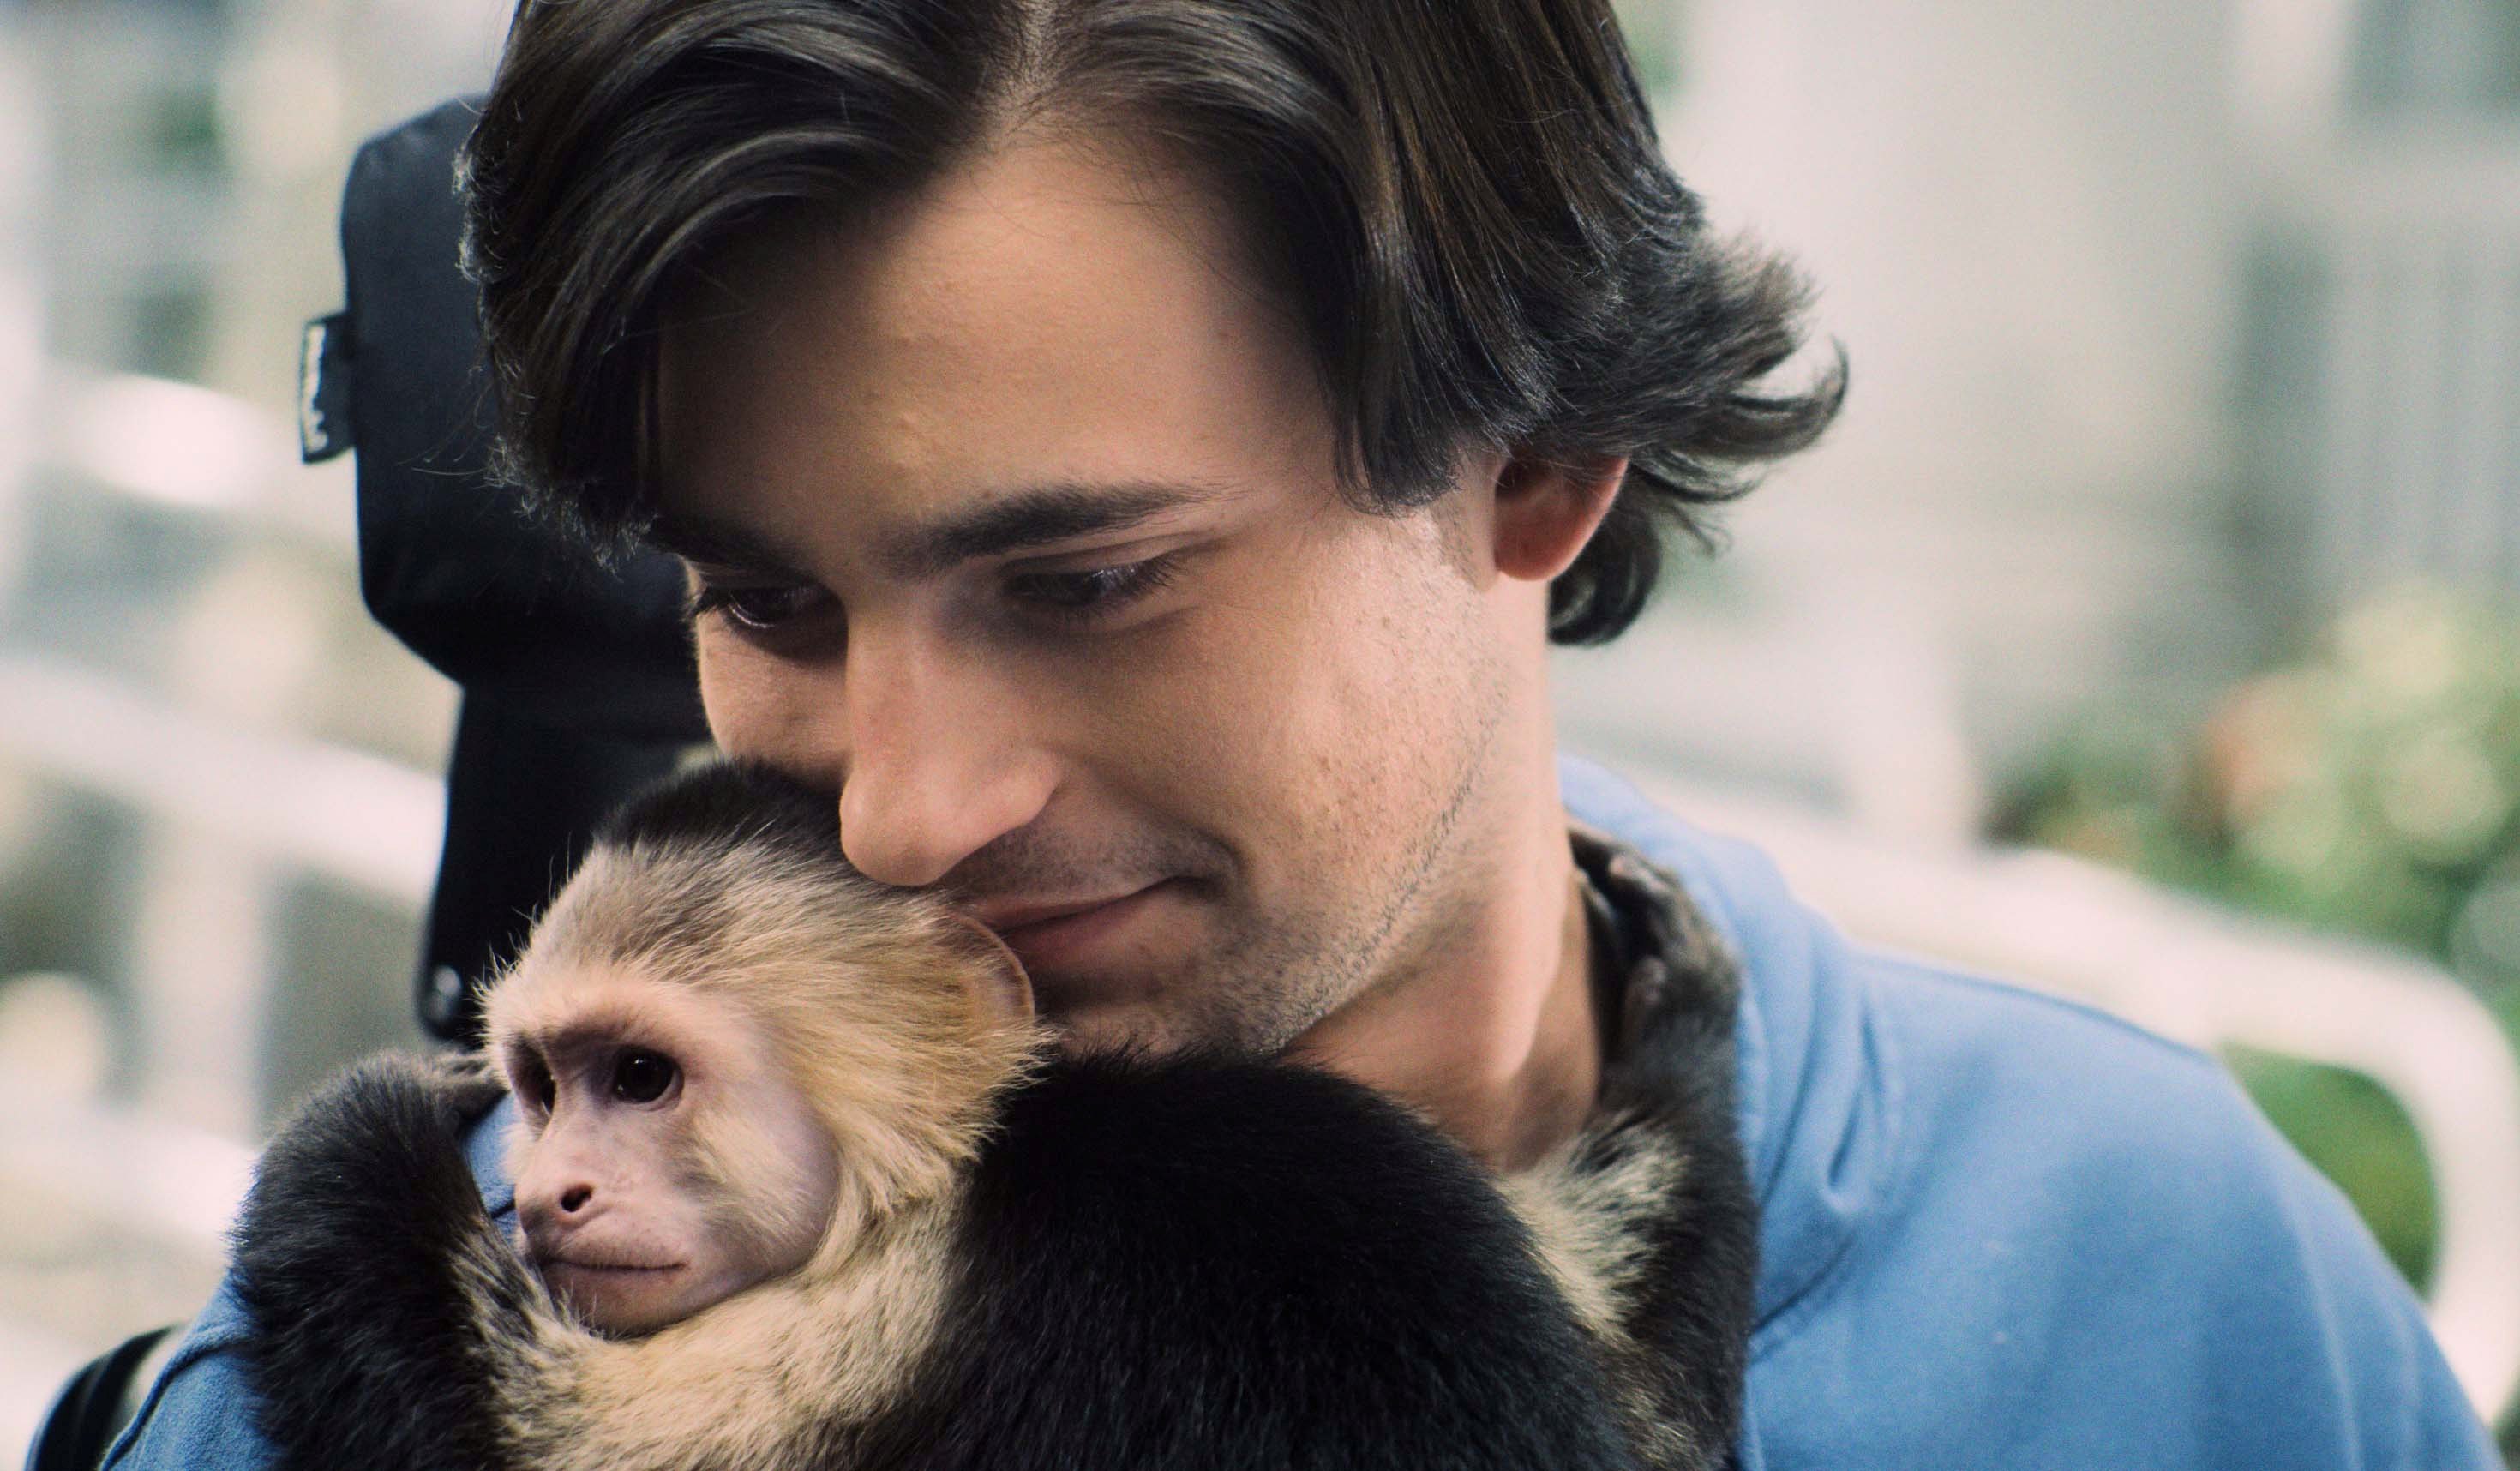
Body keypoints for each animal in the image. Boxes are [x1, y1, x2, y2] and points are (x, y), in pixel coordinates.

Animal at [229, 761, 1752, 1471]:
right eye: (546, 1090)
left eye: (641, 1079)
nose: (552, 1192)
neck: (967, 1173)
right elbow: (1657, 1419)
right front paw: (1684, 1016)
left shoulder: (923, 1303)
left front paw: (363, 1125)